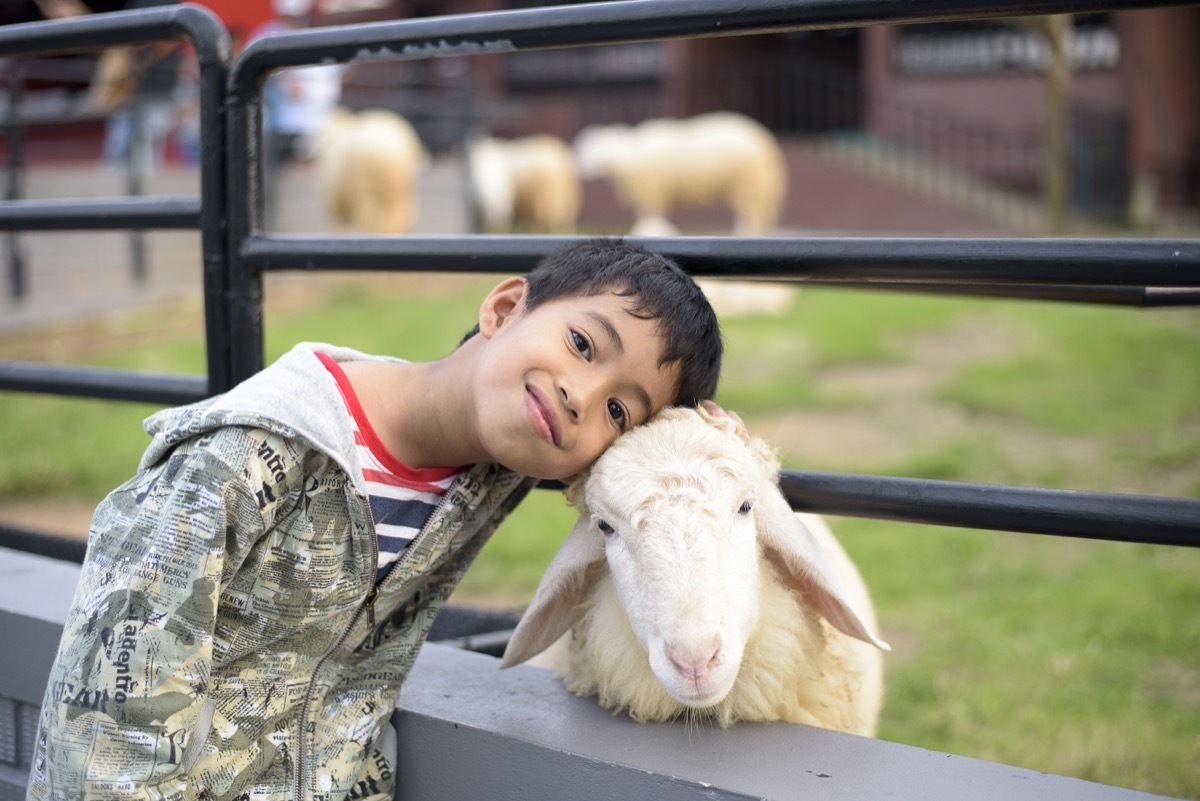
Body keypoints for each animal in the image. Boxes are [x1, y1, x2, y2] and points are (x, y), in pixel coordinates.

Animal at [578, 112, 792, 237]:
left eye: (595, 148)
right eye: (584, 148)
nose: (581, 169)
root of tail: (765, 140)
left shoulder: (652, 191)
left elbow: (650, 214)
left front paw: (651, 227)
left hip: (748, 183)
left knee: (753, 215)